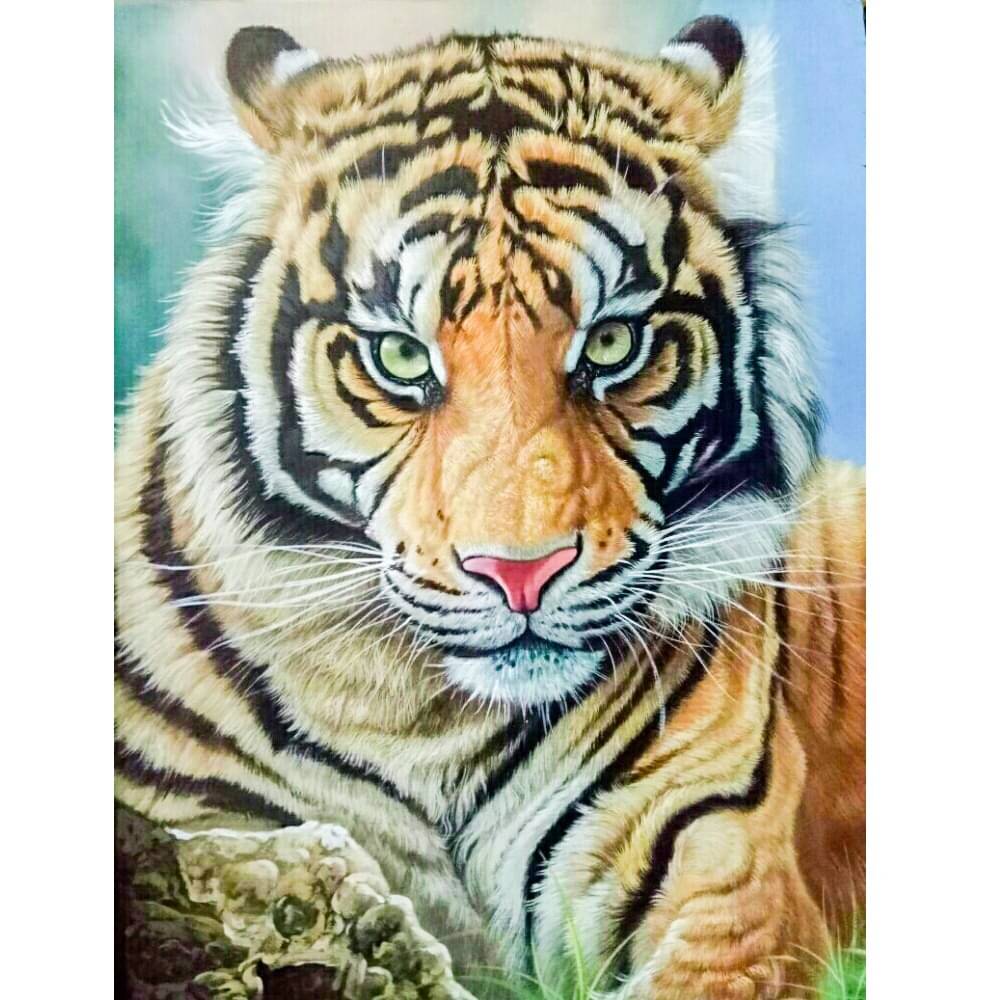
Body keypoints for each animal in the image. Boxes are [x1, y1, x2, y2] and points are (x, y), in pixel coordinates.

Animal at [115, 15, 865, 999]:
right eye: (400, 356)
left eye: (612, 343)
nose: (521, 573)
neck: (427, 723)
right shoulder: (196, 814)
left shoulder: (729, 884)